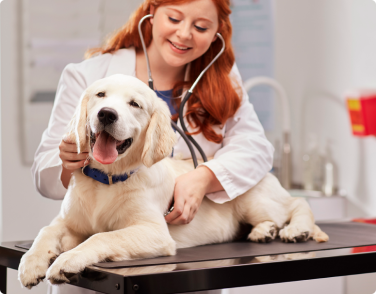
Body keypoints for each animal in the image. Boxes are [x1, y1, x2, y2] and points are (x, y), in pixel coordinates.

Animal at [19, 74, 328, 288]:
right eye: (100, 95)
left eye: (134, 104)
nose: (106, 113)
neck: (106, 179)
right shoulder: (69, 222)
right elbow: (45, 232)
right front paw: (31, 263)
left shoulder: (156, 232)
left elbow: (102, 236)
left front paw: (67, 260)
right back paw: (264, 231)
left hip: (251, 198)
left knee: (297, 203)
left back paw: (296, 229)